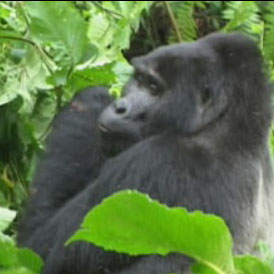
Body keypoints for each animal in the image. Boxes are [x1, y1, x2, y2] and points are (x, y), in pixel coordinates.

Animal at [18, 33, 274, 274]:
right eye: (139, 80)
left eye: (153, 88)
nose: (119, 108)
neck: (230, 127)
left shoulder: (155, 162)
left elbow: (37, 247)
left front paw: (91, 99)